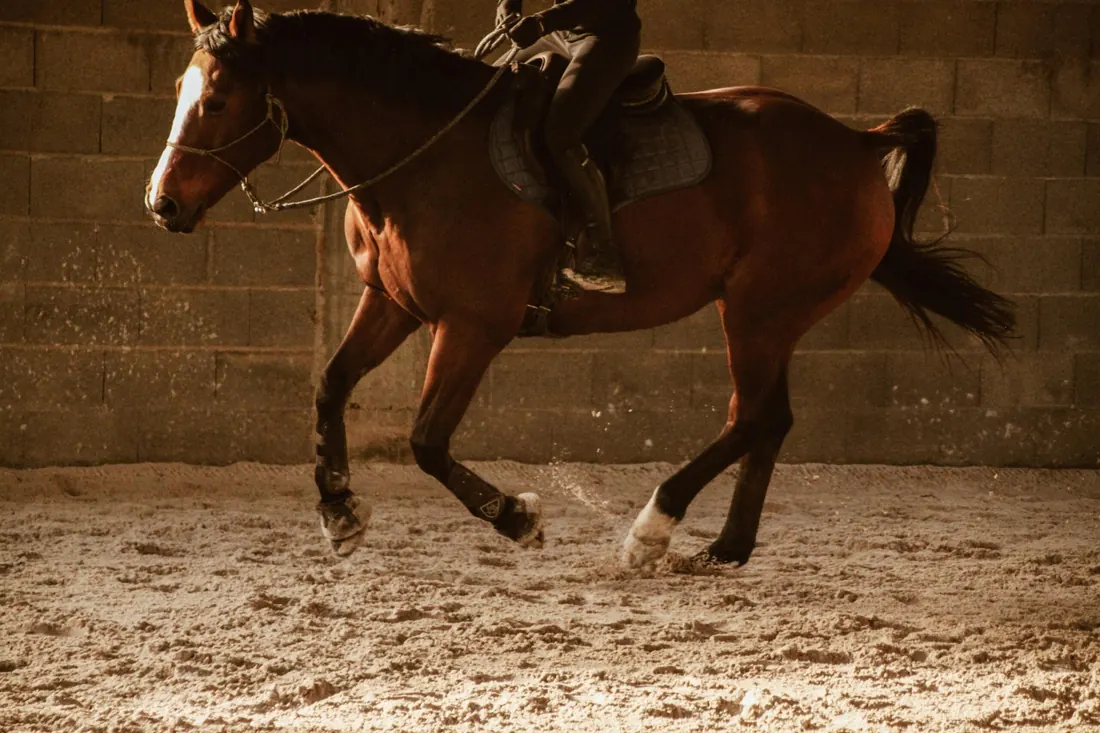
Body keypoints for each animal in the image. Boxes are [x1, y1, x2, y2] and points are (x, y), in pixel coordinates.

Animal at [146, 0, 1015, 568]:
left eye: (216, 99)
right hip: (771, 316)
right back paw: (725, 549)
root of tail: (855, 143)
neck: (424, 152)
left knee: (755, 416)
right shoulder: (392, 303)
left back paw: (651, 530)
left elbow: (427, 439)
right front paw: (339, 514)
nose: (162, 204)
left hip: (759, 311)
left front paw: (518, 520)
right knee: (769, 421)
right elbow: (329, 386)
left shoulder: (473, 325)